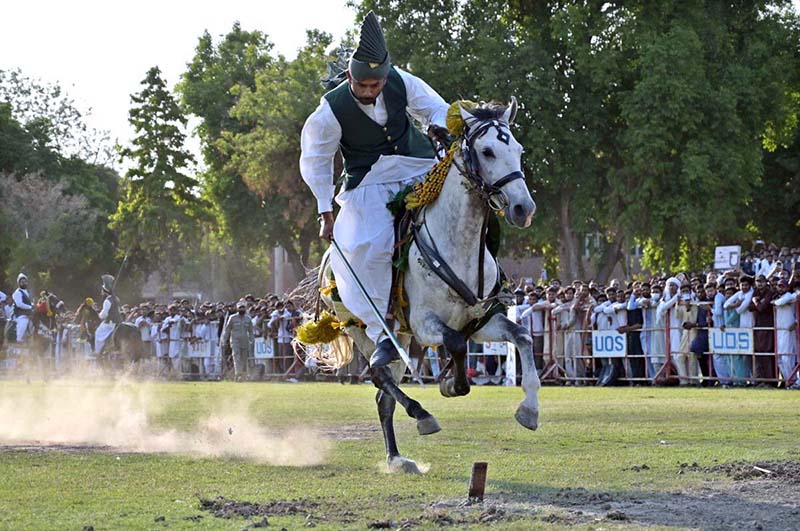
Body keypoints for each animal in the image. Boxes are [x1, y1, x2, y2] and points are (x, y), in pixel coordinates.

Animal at [318, 100, 536, 474]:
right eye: (488, 151)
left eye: (519, 150)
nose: (524, 208)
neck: (458, 246)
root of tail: (329, 260)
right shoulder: (425, 324)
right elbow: (456, 343)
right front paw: (452, 384)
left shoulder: (483, 322)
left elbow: (522, 338)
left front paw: (529, 409)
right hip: (368, 330)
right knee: (379, 374)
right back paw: (420, 414)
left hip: (402, 338)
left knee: (383, 396)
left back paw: (396, 457)